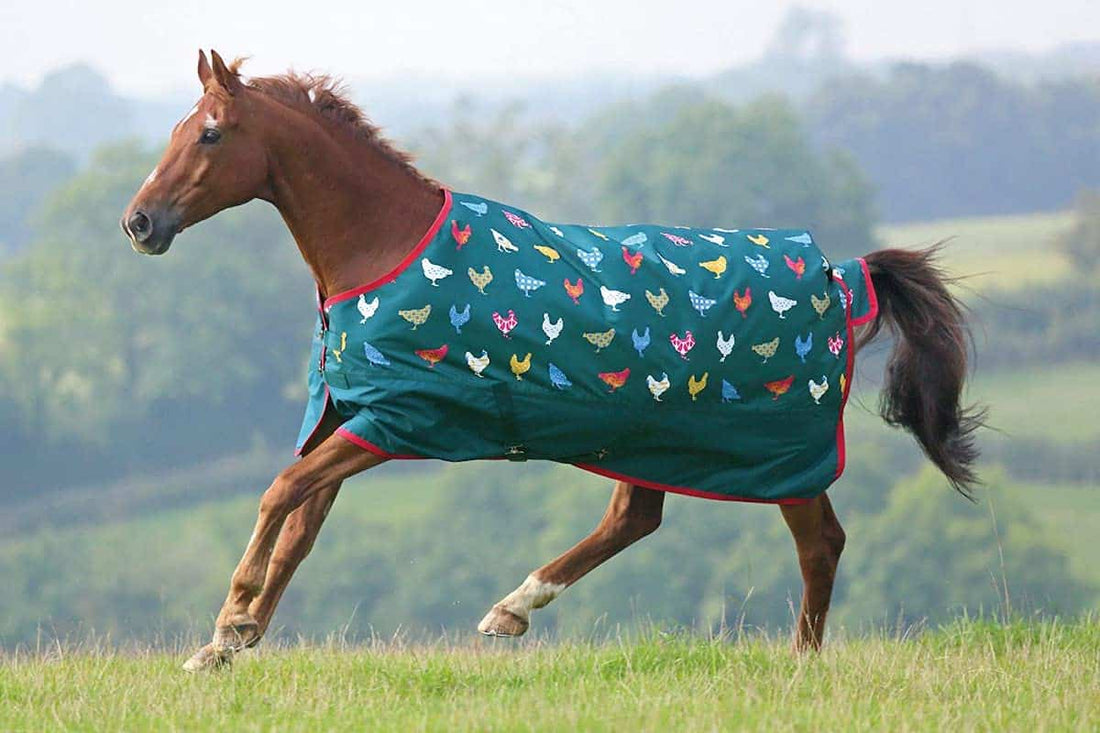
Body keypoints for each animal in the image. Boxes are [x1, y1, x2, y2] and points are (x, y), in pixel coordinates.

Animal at [121, 51, 983, 672]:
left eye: (209, 133)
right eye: (176, 127)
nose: (139, 222)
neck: (384, 247)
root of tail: (841, 274)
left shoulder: (397, 420)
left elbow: (279, 492)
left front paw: (230, 618)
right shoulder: (351, 416)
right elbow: (301, 520)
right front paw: (226, 644)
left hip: (780, 454)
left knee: (820, 544)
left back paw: (800, 658)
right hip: (650, 437)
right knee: (637, 516)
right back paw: (512, 607)